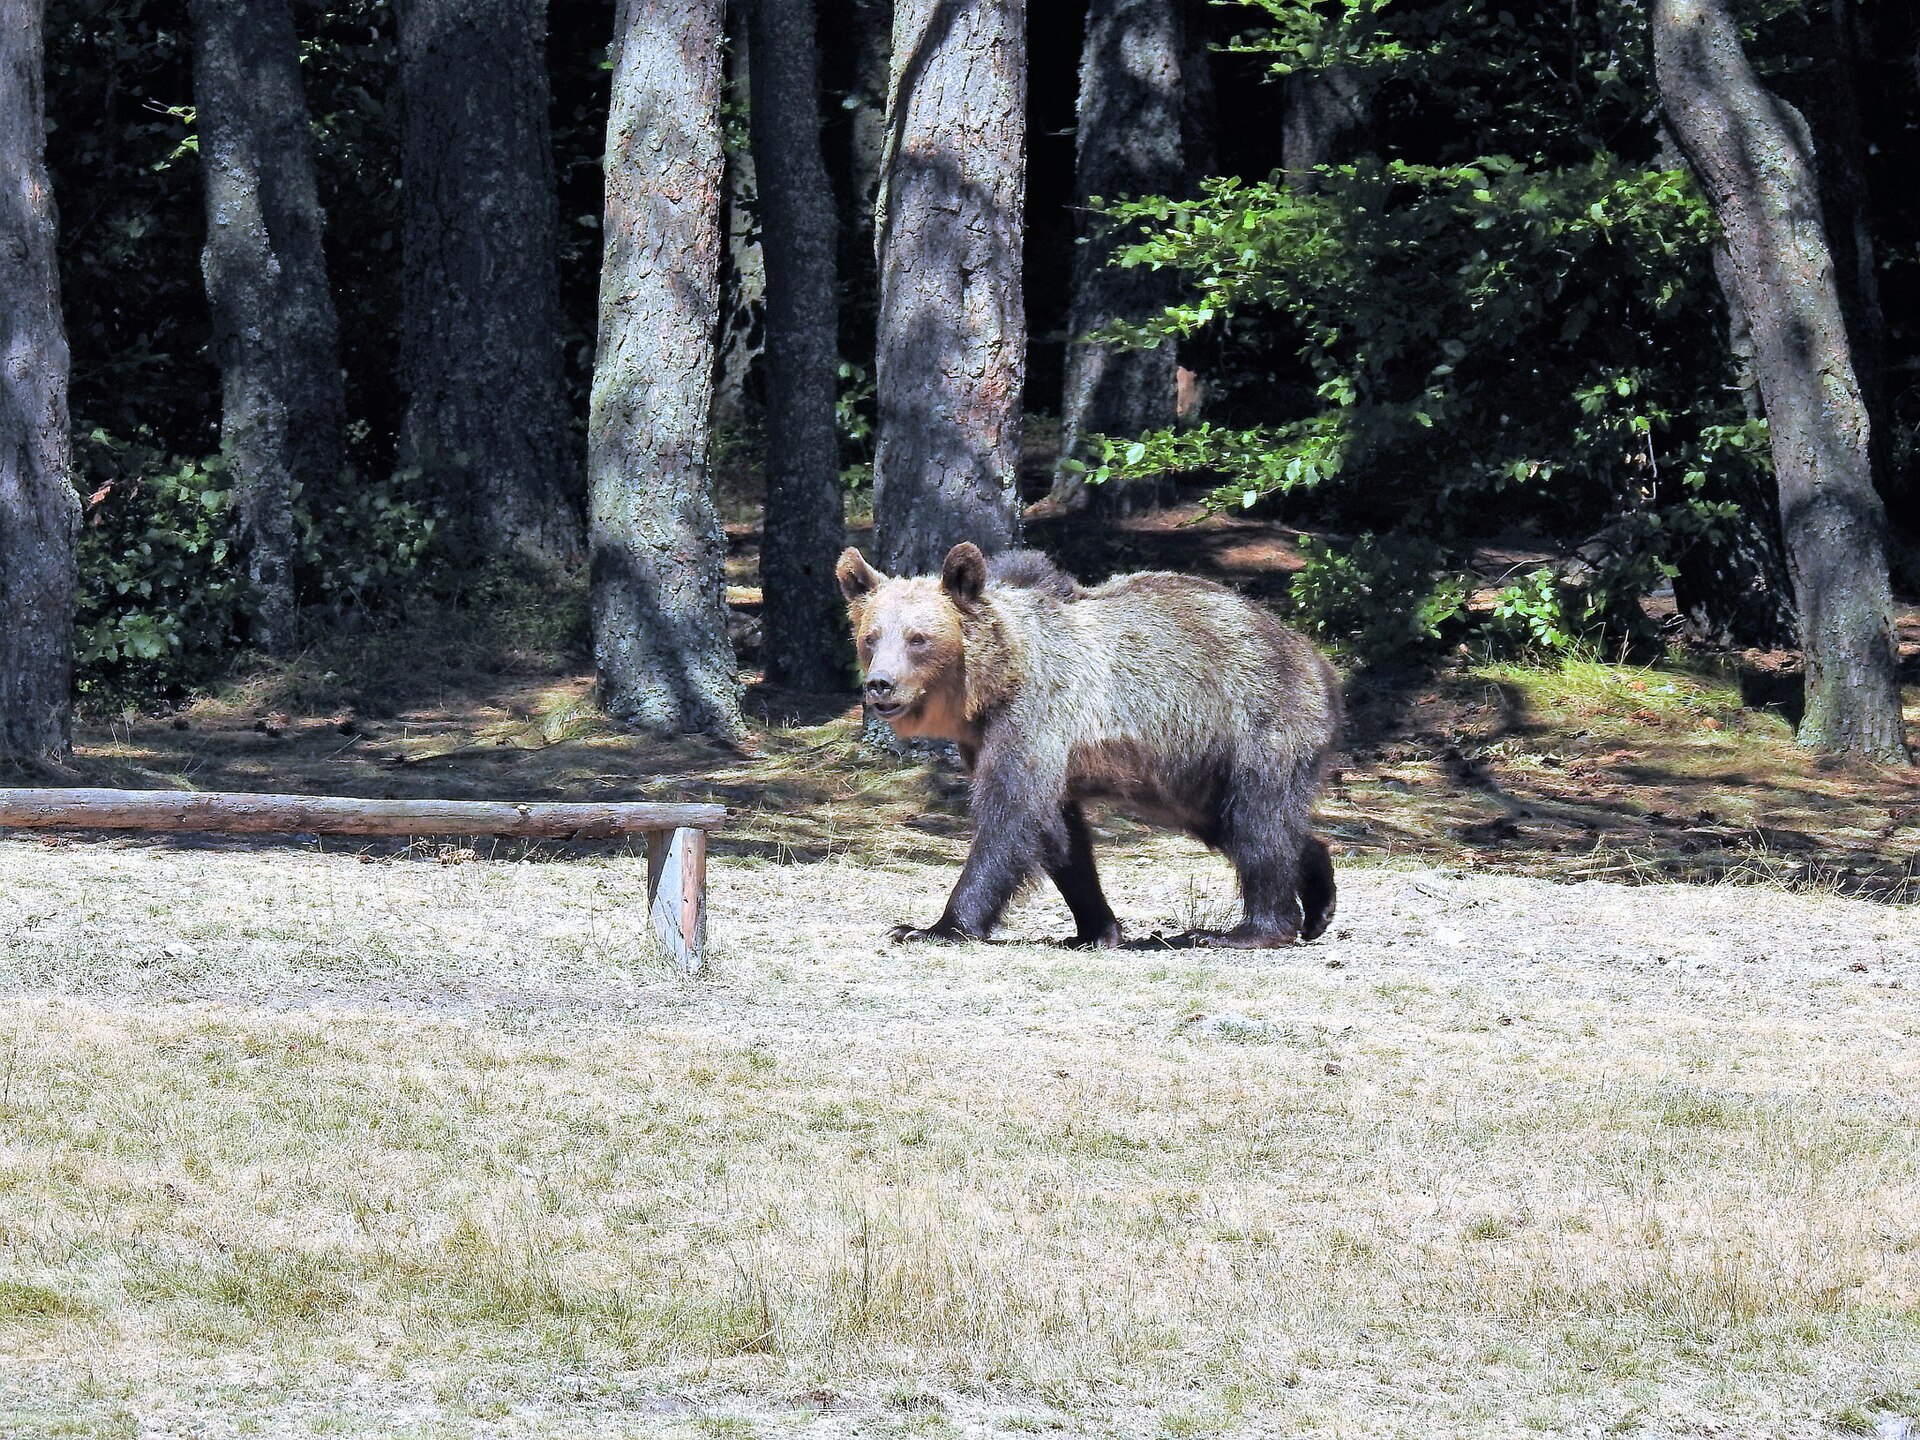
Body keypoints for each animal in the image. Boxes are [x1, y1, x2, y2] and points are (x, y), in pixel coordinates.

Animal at [836, 541, 1342, 948]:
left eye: (918, 638)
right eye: (870, 637)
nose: (880, 684)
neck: (992, 684)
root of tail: (1314, 656)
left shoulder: (1034, 717)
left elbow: (1009, 817)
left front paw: (932, 926)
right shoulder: (992, 740)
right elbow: (1060, 836)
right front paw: (1096, 928)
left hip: (1255, 723)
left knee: (1258, 822)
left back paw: (1249, 929)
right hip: (1196, 774)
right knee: (1241, 823)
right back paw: (1319, 899)